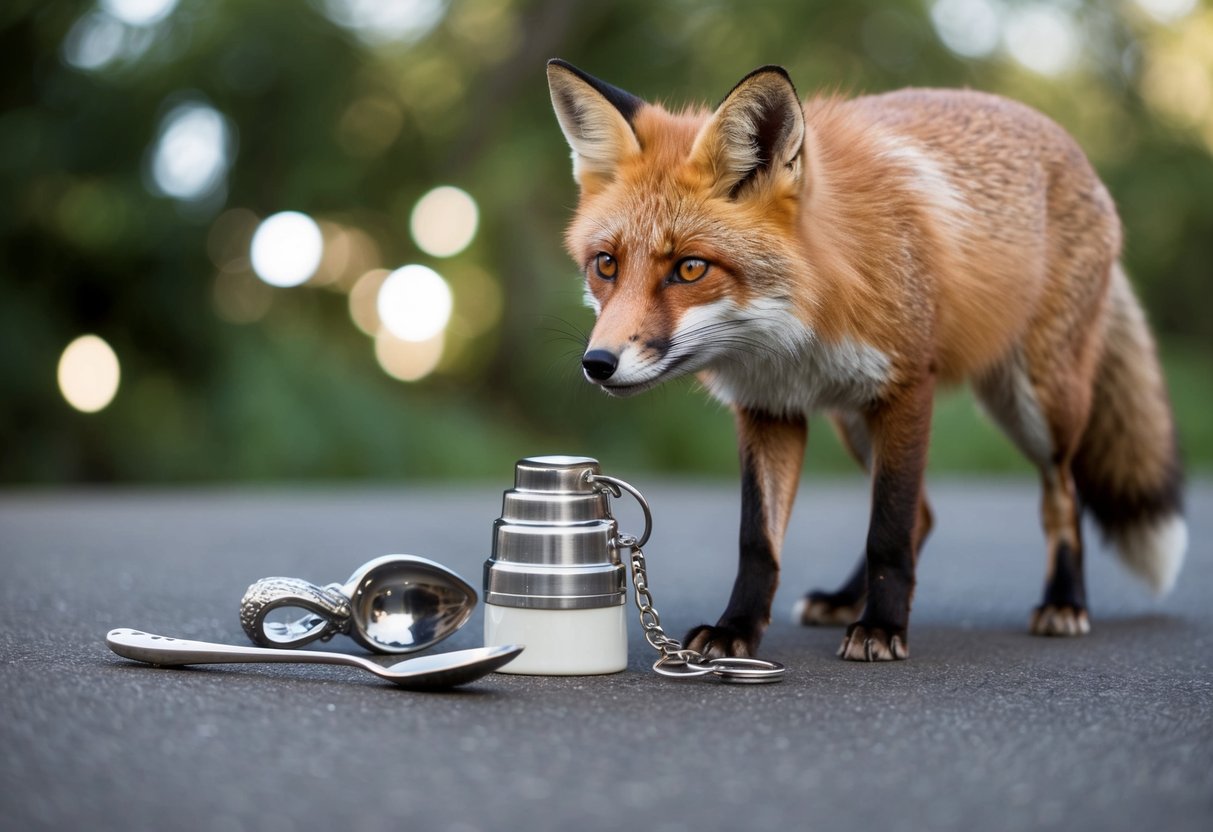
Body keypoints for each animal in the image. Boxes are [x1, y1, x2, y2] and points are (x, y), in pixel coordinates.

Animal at [545, 59, 1187, 661]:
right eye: (606, 264)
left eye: (690, 268)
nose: (598, 363)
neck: (795, 333)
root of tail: (1072, 149)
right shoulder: (768, 409)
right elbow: (759, 543)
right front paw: (737, 630)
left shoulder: (907, 388)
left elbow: (888, 529)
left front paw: (882, 628)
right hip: (855, 420)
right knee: (928, 514)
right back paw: (843, 599)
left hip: (1039, 405)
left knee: (1060, 496)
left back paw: (1063, 602)